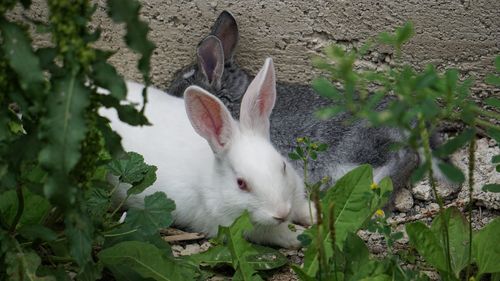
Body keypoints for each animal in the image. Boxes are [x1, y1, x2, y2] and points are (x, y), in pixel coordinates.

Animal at [98, 57, 312, 247]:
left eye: (283, 167)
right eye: (241, 183)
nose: (281, 212)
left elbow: (304, 208)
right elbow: (279, 234)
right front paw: (300, 236)